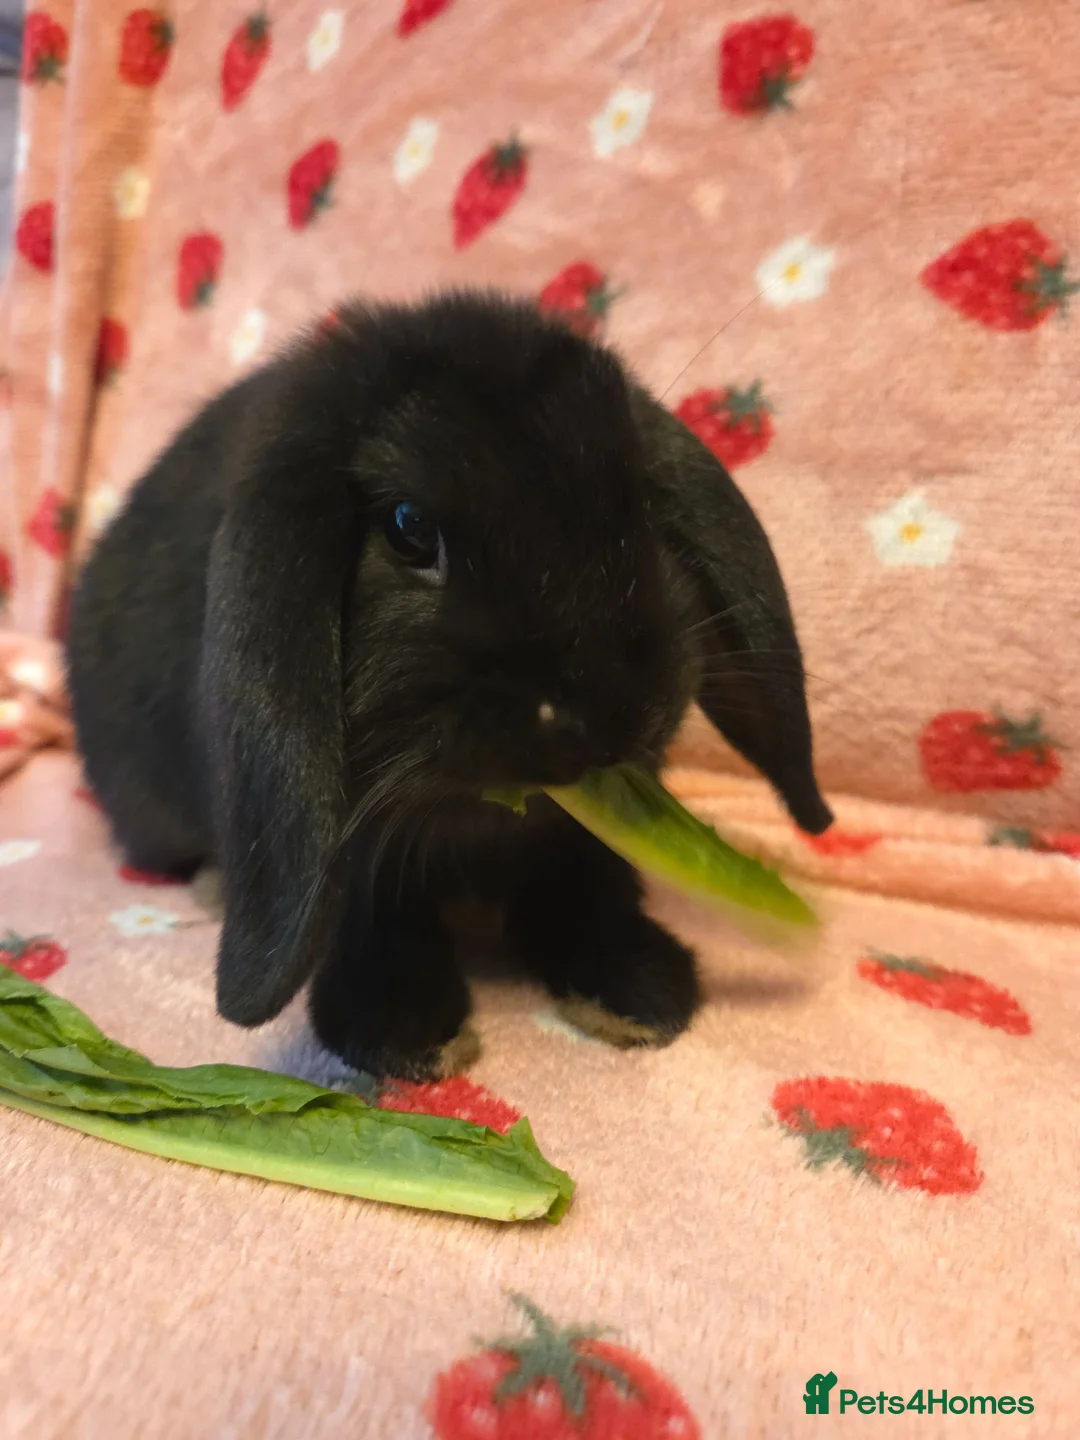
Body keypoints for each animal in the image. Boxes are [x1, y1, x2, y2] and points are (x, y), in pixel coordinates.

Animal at [66, 290, 832, 1080]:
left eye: (641, 508)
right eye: (408, 528)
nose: (603, 719)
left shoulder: (576, 839)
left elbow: (589, 880)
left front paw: (641, 990)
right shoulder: (354, 850)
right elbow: (369, 917)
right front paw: (405, 1032)